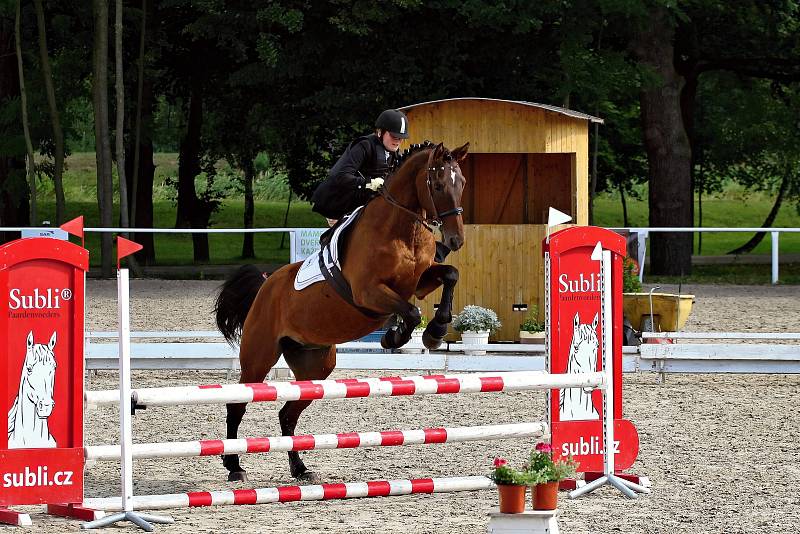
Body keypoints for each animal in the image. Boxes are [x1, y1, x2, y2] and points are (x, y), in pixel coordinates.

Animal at [216, 140, 472, 484]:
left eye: (463, 183)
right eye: (439, 184)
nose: (456, 239)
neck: (402, 231)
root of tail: (264, 287)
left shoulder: (420, 282)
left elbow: (450, 275)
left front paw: (436, 331)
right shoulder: (369, 293)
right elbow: (410, 312)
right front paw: (397, 337)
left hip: (315, 366)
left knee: (288, 414)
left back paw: (300, 468)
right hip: (258, 358)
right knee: (237, 405)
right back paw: (234, 466)